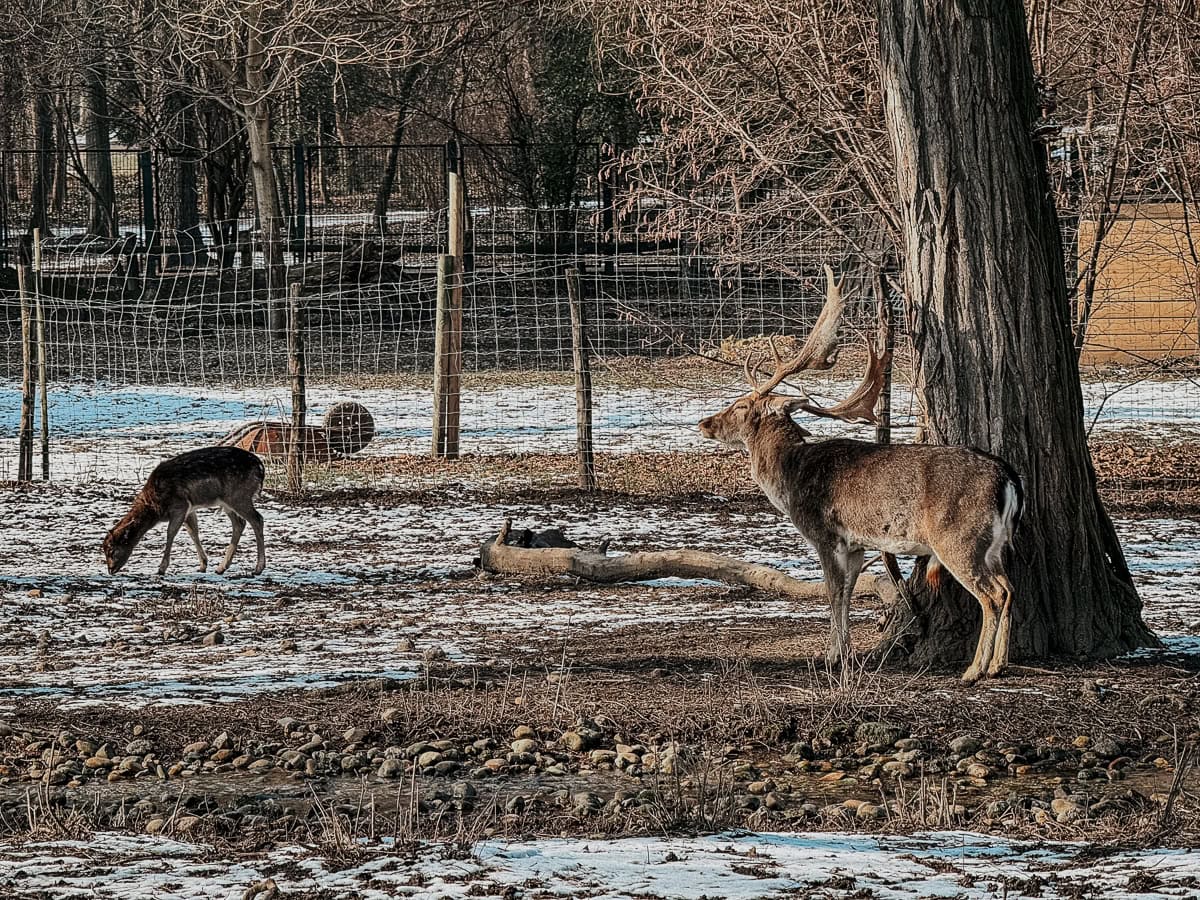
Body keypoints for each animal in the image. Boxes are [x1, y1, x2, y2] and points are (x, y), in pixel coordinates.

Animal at [103, 446, 267, 578]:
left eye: (112, 550)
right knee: (240, 523)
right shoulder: (189, 509)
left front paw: (161, 569)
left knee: (257, 519)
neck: (156, 509)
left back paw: (258, 568)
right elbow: (193, 531)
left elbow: (170, 533)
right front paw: (203, 565)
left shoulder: (179, 505)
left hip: (238, 496)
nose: (110, 570)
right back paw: (221, 568)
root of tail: (261, 468)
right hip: (228, 502)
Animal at [700, 270, 1027, 681]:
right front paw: (843, 653)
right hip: (996, 544)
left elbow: (832, 592)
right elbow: (847, 595)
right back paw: (999, 663)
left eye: (741, 406)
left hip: (959, 538)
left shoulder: (826, 535)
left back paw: (975, 669)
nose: (705, 423)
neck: (790, 476)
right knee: (1010, 587)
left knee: (992, 594)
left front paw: (832, 658)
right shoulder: (857, 545)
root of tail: (1008, 477)